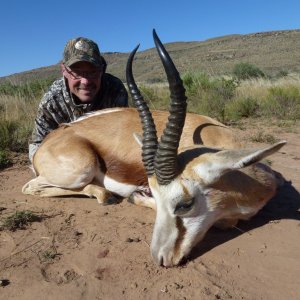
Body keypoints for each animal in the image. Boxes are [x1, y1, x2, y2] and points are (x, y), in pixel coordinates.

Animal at [22, 29, 284, 266]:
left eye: (185, 204)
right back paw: (105, 195)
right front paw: (133, 197)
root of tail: (52, 137)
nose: (160, 258)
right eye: (155, 194)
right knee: (30, 187)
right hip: (81, 170)